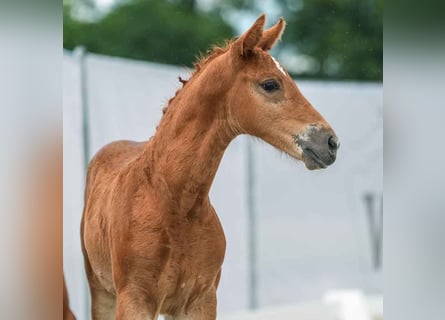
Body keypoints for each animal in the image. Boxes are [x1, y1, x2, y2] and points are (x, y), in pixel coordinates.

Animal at [80, 13, 336, 318]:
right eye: (270, 84)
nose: (330, 142)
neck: (174, 204)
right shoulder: (134, 300)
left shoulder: (201, 299)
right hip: (101, 292)